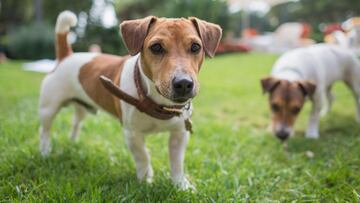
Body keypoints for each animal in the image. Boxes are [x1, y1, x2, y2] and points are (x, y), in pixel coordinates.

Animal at [38, 10, 221, 190]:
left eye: (196, 47)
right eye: (156, 47)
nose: (183, 83)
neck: (158, 103)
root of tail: (66, 56)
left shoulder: (179, 134)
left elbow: (177, 163)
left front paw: (180, 185)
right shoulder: (132, 134)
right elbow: (143, 157)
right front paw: (145, 180)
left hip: (81, 106)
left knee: (76, 122)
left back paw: (73, 143)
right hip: (48, 108)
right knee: (44, 131)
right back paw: (45, 152)